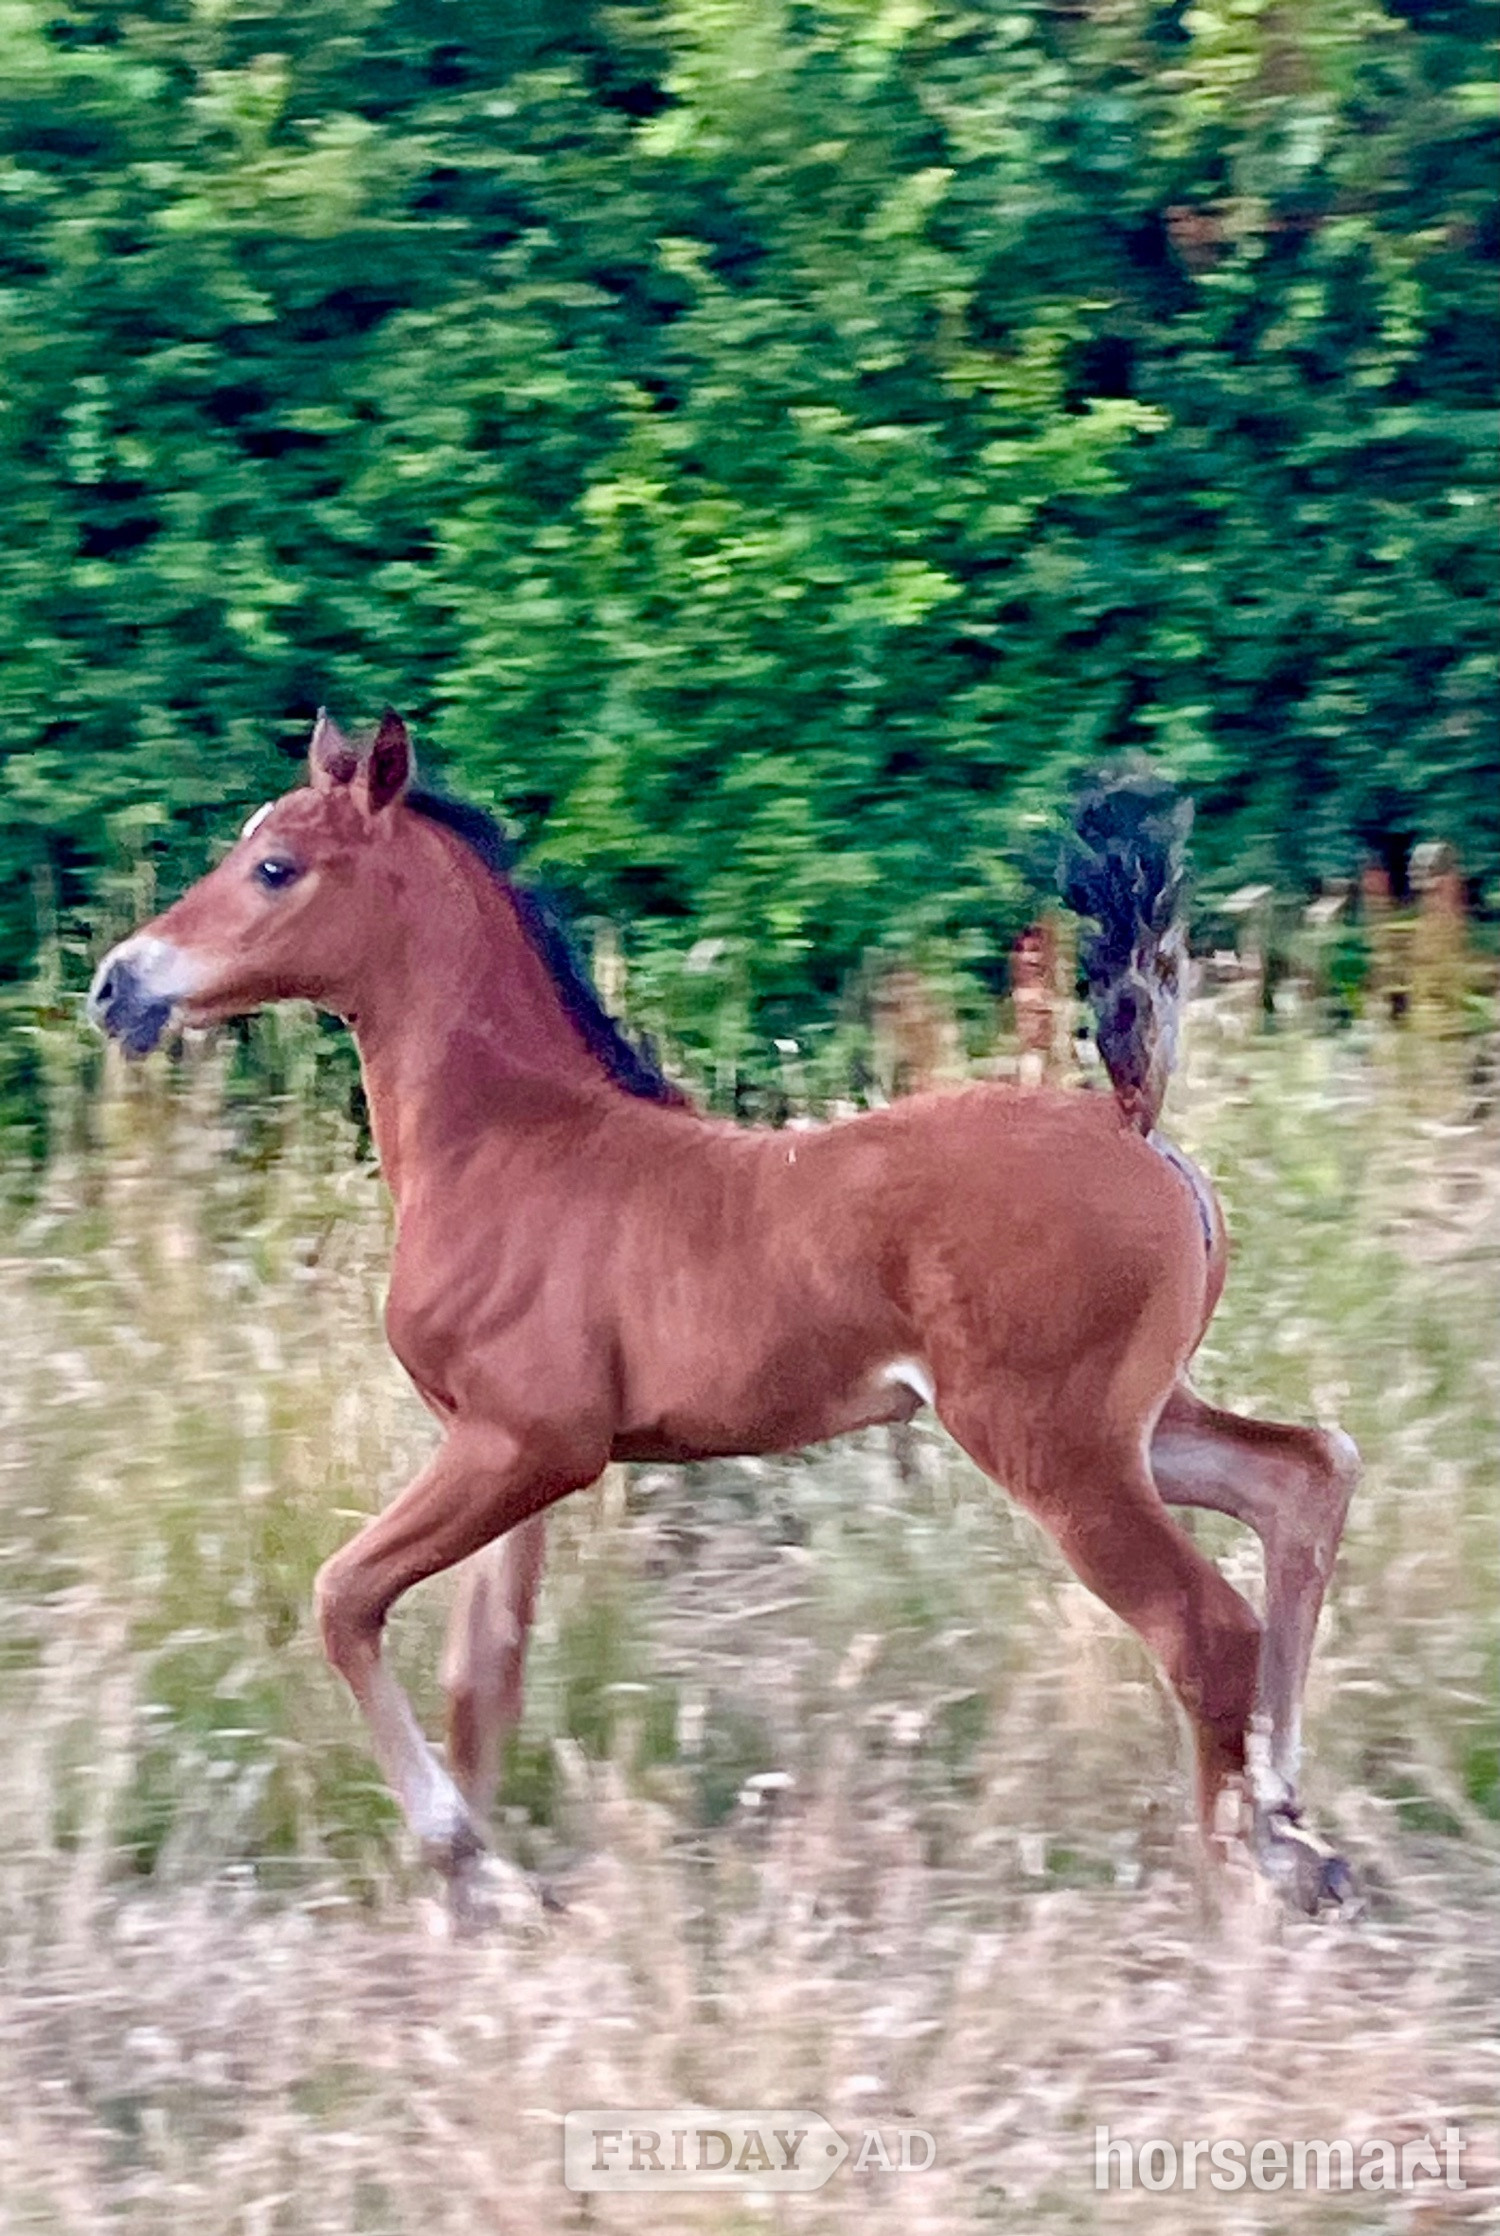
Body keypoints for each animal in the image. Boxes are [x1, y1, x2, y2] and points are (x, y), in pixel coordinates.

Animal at [89, 710, 1360, 1924]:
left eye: (275, 866)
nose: (117, 985)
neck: (506, 1145)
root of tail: (1130, 1122)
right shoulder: (498, 1451)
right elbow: (482, 1670)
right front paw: (489, 1895)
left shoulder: (530, 1444)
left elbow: (345, 1596)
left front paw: (465, 1863)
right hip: (1135, 1421)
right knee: (1305, 1474)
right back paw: (1295, 1830)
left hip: (1054, 1442)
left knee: (1204, 1626)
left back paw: (1236, 1883)